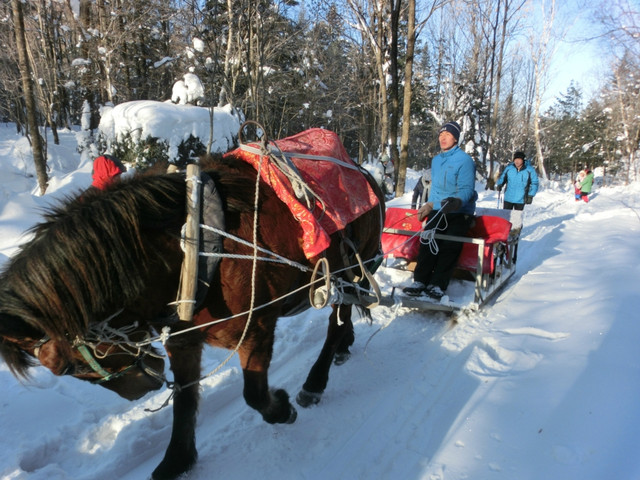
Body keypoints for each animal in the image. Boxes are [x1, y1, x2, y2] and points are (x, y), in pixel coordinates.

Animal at [0, 144, 384, 478]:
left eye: (67, 367)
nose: (140, 389)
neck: (192, 247)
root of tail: (364, 171)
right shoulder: (182, 341)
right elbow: (184, 402)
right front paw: (177, 460)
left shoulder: (256, 329)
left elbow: (254, 394)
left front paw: (281, 408)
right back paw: (344, 347)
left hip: (349, 270)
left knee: (337, 322)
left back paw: (316, 381)